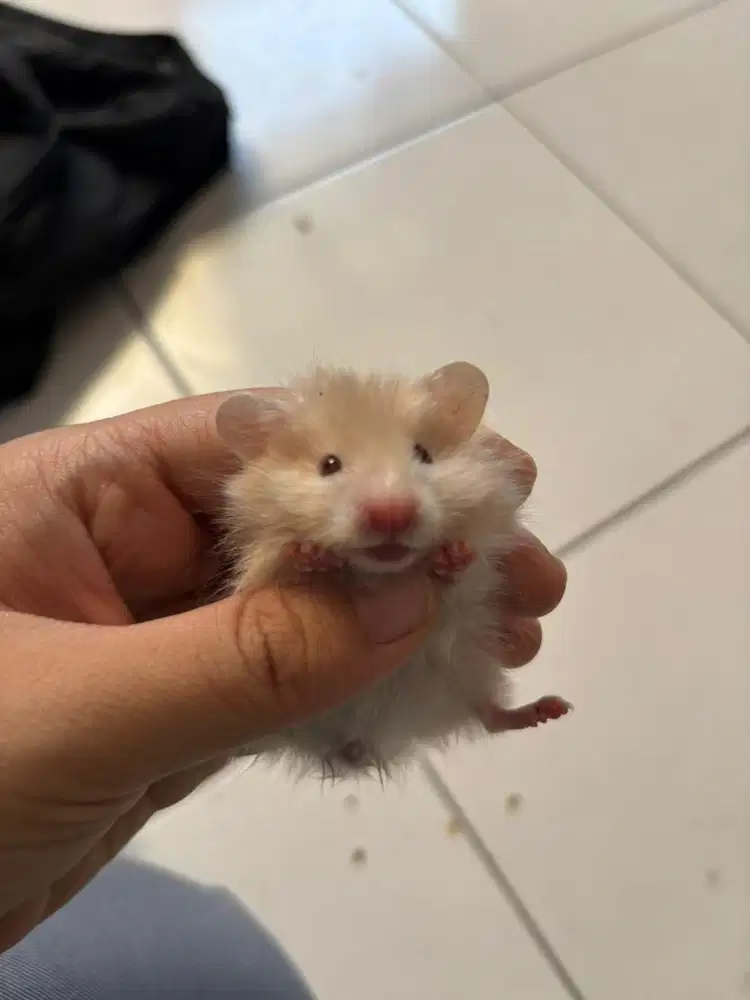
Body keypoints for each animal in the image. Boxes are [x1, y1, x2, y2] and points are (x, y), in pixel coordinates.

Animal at [216, 362, 570, 779]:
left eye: (423, 453)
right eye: (328, 465)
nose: (392, 515)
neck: (382, 572)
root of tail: (360, 743)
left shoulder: (479, 575)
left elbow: (464, 574)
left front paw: (450, 556)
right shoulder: (260, 566)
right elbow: (287, 566)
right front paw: (313, 556)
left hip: (465, 672)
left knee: (490, 717)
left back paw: (550, 709)